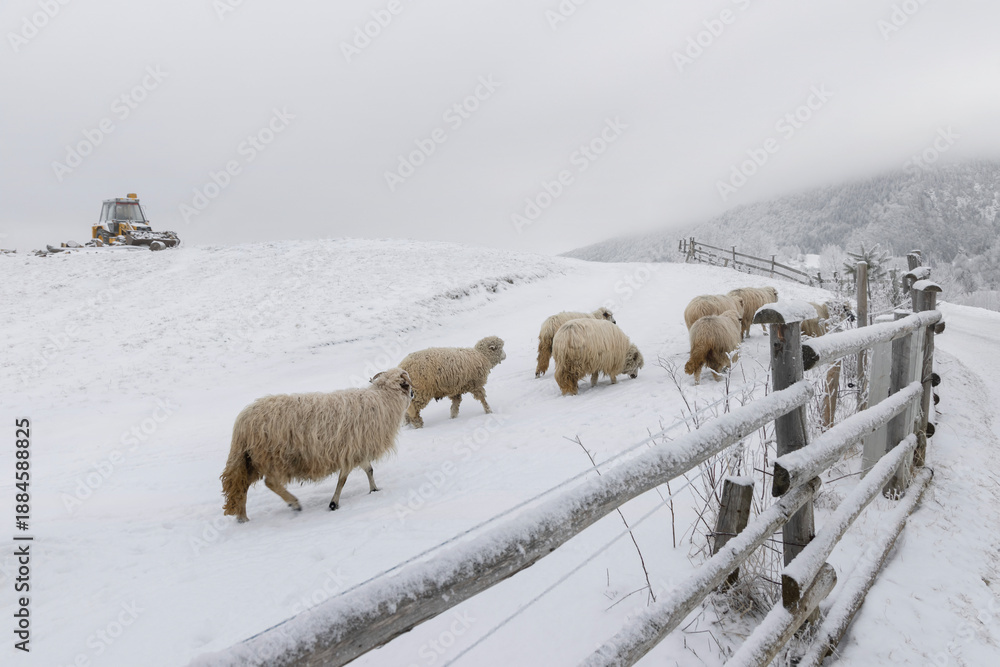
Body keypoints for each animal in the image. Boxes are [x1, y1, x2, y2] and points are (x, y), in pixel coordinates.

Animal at [220, 368, 414, 522]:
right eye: (408, 385)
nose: (414, 394)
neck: (383, 400)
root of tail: (243, 422)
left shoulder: (357, 451)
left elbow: (369, 470)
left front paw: (374, 489)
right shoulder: (351, 451)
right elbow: (343, 479)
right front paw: (334, 503)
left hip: (250, 459)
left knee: (242, 486)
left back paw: (243, 518)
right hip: (274, 457)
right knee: (270, 482)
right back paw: (294, 503)